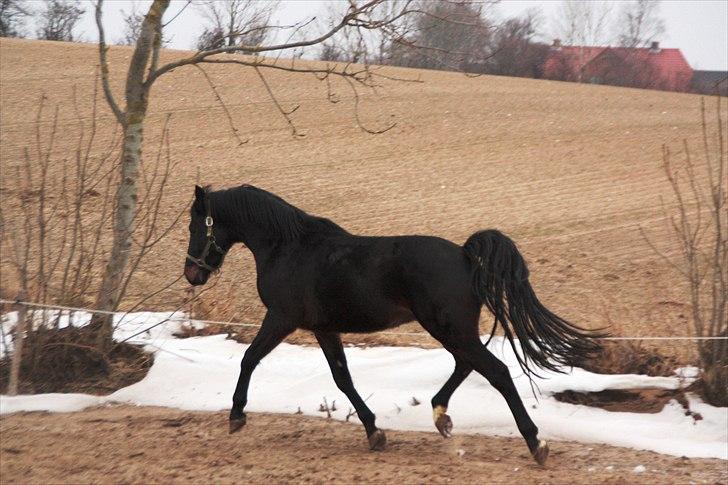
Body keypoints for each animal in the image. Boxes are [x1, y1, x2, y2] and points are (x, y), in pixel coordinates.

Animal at [185, 183, 600, 464]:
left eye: (195, 225)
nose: (192, 274)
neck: (288, 248)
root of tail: (466, 255)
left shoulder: (281, 318)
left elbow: (249, 359)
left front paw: (236, 416)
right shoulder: (324, 329)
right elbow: (343, 379)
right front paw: (375, 433)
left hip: (448, 328)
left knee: (494, 370)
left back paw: (536, 443)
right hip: (453, 330)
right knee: (467, 365)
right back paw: (441, 417)